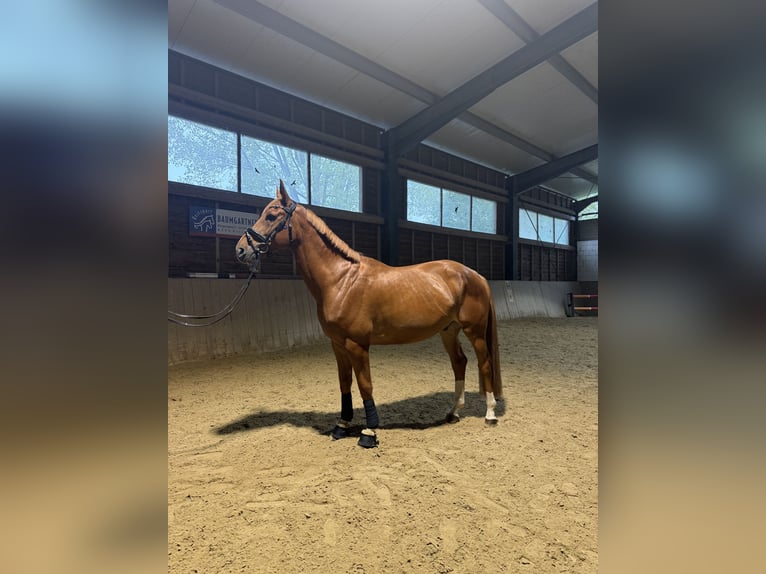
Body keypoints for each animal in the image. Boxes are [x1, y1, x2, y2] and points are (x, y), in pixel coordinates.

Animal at [236, 180, 502, 447]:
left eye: (271, 216)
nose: (240, 250)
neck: (341, 280)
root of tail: (474, 275)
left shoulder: (357, 345)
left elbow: (365, 385)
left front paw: (369, 431)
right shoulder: (337, 344)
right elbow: (345, 383)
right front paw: (342, 425)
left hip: (474, 331)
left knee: (484, 362)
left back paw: (490, 414)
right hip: (448, 331)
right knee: (459, 362)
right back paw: (453, 412)